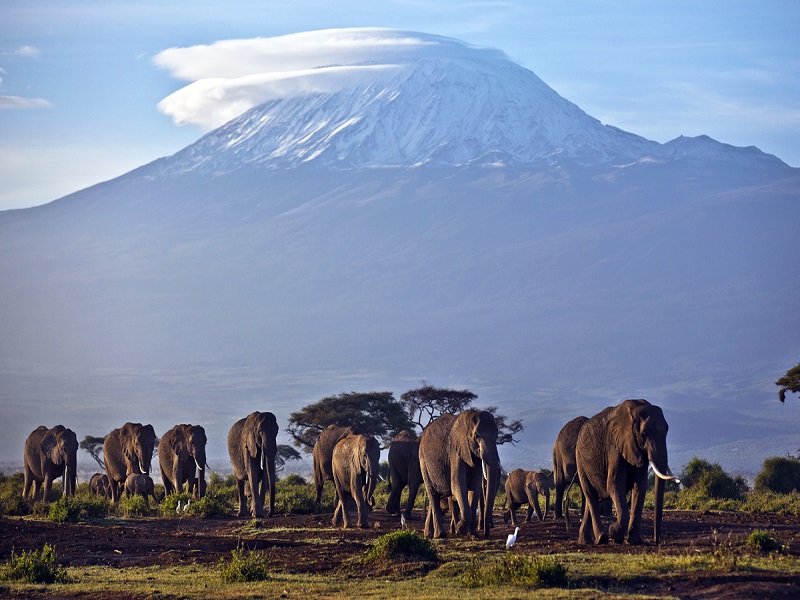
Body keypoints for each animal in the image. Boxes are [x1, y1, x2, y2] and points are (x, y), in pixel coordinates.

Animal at [418, 408, 500, 540]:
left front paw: (472, 535)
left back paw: (428, 534)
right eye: (476, 436)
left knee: (434, 497)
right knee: (432, 494)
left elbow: (475, 488)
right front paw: (461, 529)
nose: (486, 534)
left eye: (497, 435)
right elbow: (457, 486)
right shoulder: (455, 451)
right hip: (423, 461)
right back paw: (440, 535)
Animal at [576, 398, 676, 544]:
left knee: (593, 499)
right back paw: (601, 539)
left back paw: (585, 541)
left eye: (667, 431)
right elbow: (615, 485)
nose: (656, 540)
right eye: (644, 433)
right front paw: (614, 534)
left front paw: (634, 541)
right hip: (580, 461)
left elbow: (640, 486)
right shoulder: (614, 446)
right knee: (590, 495)